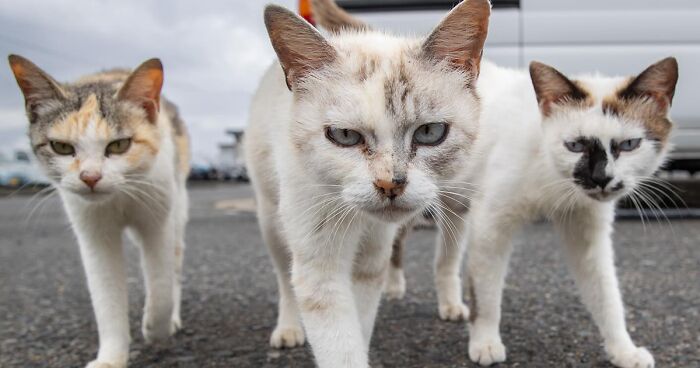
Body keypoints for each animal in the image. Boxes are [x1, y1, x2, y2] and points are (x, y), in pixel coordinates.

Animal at [8, 54, 189, 368]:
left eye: (119, 145)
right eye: (61, 147)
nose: (90, 177)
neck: (119, 198)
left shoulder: (157, 219)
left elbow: (161, 285)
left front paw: (156, 328)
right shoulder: (93, 233)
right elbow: (106, 296)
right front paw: (111, 357)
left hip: (178, 206)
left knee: (175, 263)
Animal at [246, 1, 492, 366]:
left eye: (430, 132)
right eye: (344, 136)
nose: (390, 184)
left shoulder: (371, 259)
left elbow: (360, 324)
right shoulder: (319, 265)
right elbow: (338, 345)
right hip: (271, 221)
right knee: (284, 280)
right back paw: (288, 329)